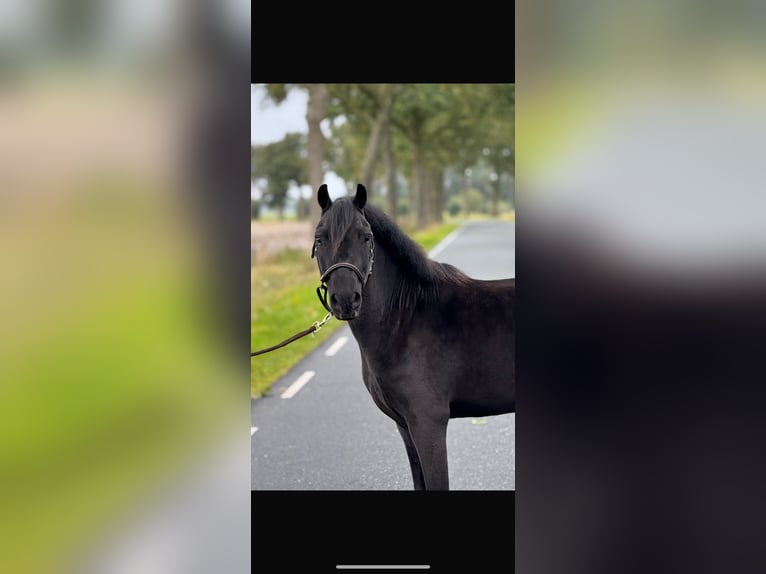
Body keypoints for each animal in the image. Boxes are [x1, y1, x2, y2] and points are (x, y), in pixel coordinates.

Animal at [311, 183, 515, 490]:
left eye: (366, 237)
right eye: (320, 239)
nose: (345, 299)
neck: (405, 320)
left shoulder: (428, 424)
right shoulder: (405, 426)